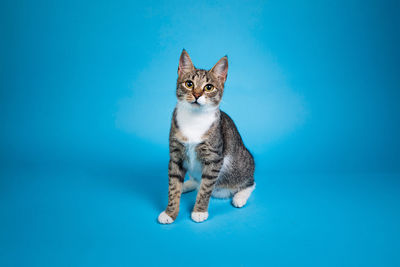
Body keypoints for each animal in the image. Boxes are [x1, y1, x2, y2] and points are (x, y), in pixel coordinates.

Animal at [158, 49, 255, 224]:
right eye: (189, 84)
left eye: (209, 87)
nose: (196, 95)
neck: (194, 119)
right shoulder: (176, 154)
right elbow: (173, 185)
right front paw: (170, 212)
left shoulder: (214, 158)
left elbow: (205, 188)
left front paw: (199, 211)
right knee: (195, 181)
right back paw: (187, 185)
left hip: (241, 164)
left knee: (250, 182)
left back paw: (240, 197)